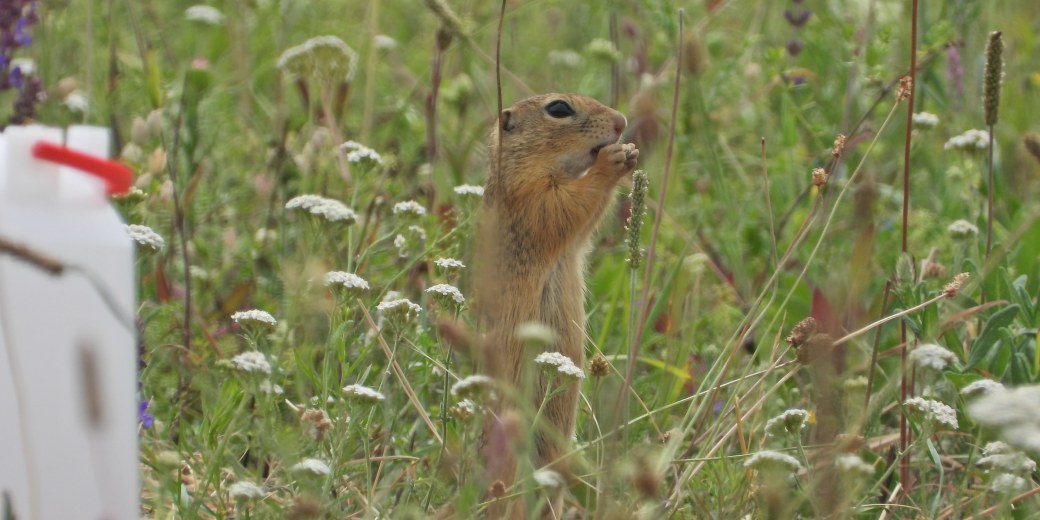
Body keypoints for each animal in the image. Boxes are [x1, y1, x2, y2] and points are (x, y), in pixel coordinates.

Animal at [476, 92, 636, 515]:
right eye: (559, 109)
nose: (621, 121)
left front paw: (630, 155)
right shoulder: (532, 201)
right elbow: (567, 206)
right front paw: (612, 161)